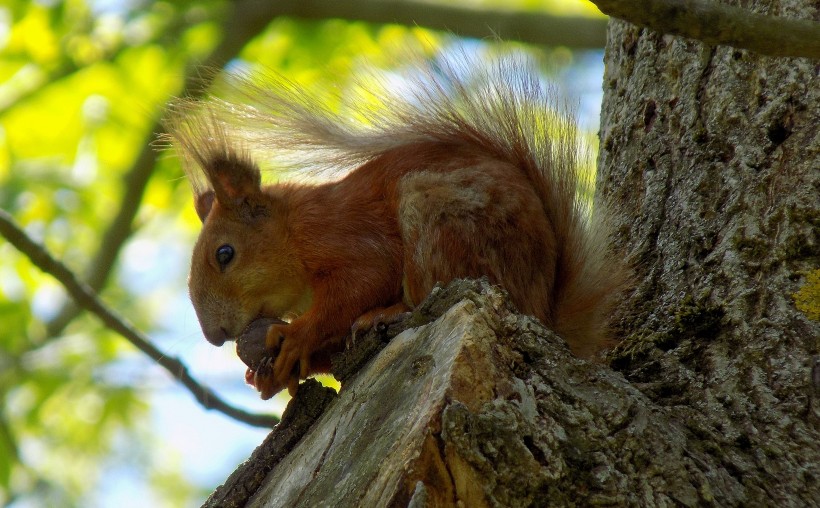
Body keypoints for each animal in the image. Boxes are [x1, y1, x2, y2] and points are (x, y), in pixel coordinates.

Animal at [165, 53, 628, 398]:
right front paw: (272, 373)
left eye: (225, 254)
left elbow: (365, 279)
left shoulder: (342, 234)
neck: (292, 231)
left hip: (439, 220)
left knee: (424, 292)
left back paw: (387, 313)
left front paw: (296, 336)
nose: (215, 336)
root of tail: (543, 310)